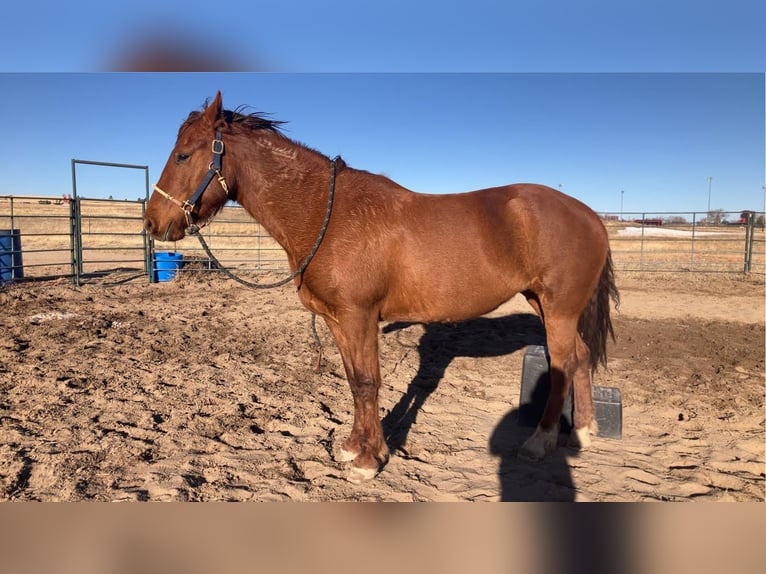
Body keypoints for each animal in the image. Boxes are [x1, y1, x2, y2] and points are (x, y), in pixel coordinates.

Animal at [144, 91, 620, 486]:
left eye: (183, 155)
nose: (152, 223)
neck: (327, 214)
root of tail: (590, 216)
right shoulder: (338, 320)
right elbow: (355, 382)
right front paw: (353, 448)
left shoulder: (360, 316)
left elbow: (369, 382)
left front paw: (369, 462)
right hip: (546, 305)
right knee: (579, 358)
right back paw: (583, 431)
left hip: (558, 309)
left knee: (563, 362)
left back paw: (540, 443)